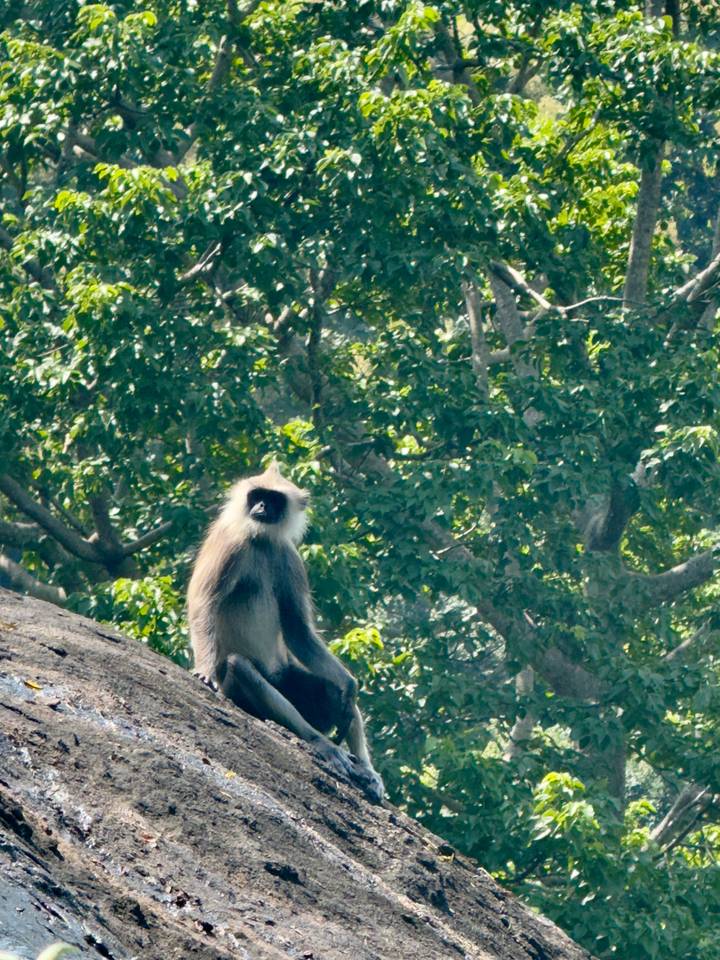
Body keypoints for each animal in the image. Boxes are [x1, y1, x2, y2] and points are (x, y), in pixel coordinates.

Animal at [188, 463, 385, 803]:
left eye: (273, 500)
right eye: (257, 496)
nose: (260, 508)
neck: (261, 541)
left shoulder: (288, 555)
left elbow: (298, 631)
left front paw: (350, 685)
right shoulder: (229, 543)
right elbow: (203, 605)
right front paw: (204, 670)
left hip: (289, 676)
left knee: (334, 693)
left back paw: (366, 770)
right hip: (238, 689)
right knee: (240, 665)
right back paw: (322, 743)